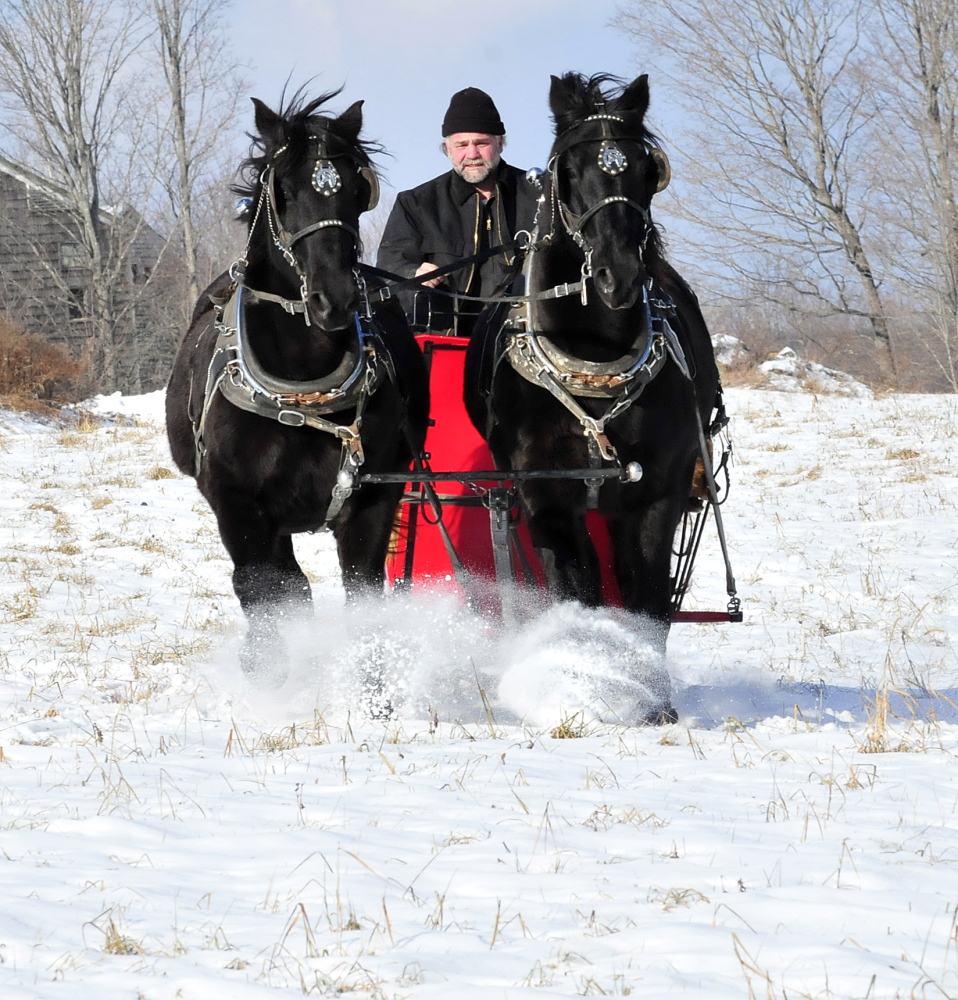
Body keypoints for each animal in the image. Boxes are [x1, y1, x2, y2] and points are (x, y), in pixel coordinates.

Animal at [168, 94, 428, 676]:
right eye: (282, 192)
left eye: (356, 190)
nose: (336, 301)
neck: (303, 390)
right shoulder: (239, 508)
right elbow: (263, 592)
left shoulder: (373, 502)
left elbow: (364, 601)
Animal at [464, 72, 720, 656]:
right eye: (570, 171)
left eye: (648, 171)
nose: (617, 276)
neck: (593, 362)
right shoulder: (549, 500)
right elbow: (576, 596)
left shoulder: (656, 498)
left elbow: (646, 603)